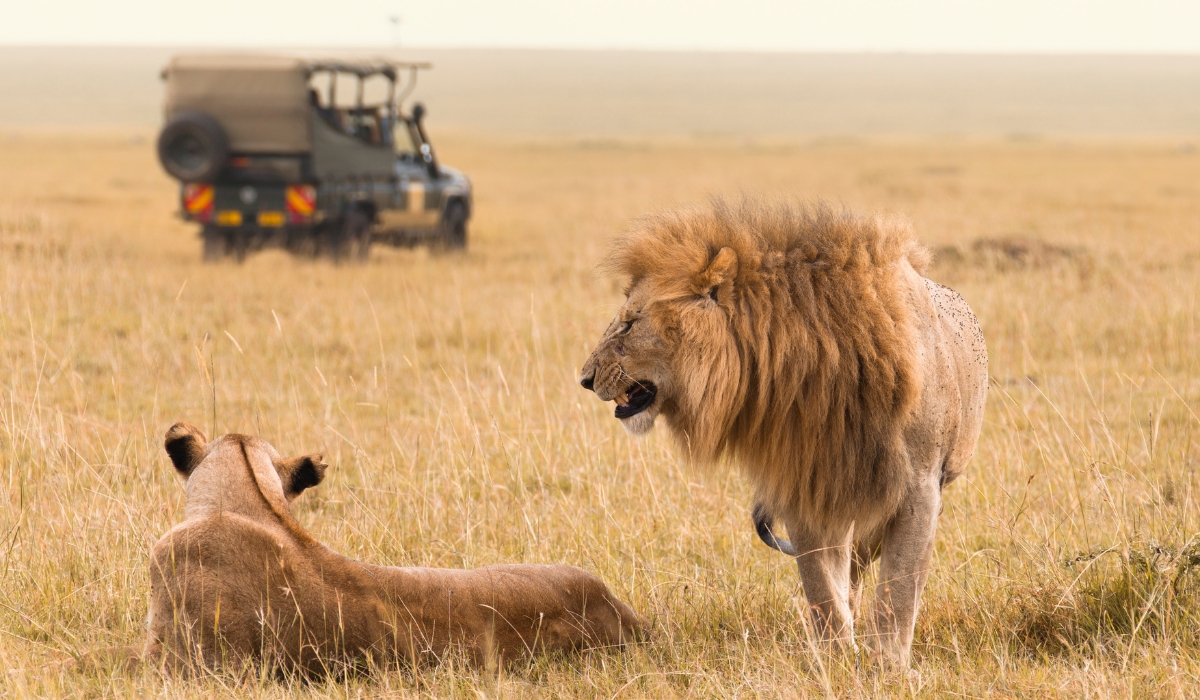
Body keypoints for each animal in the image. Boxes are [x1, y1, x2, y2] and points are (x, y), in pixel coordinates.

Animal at [578, 200, 984, 667]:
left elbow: (899, 588)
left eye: (629, 325)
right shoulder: (806, 484)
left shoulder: (919, 487)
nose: (584, 379)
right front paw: (835, 658)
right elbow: (821, 585)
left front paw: (888, 666)